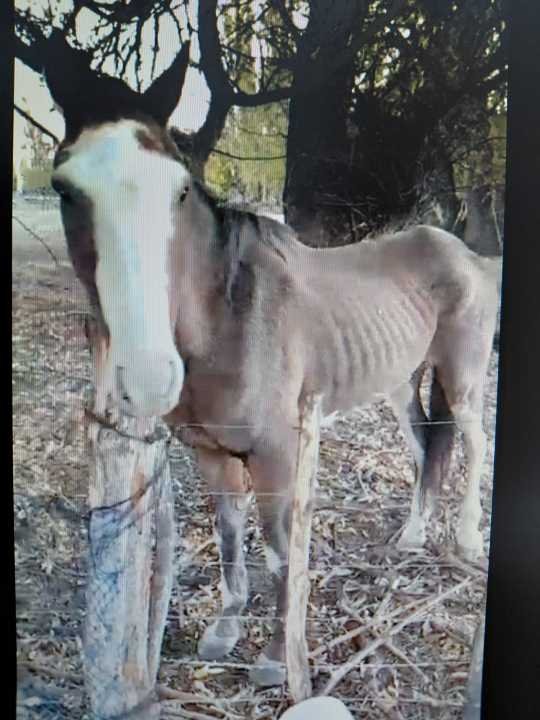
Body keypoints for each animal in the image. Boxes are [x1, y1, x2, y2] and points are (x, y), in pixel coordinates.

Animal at [44, 38, 500, 688]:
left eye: (180, 189)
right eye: (65, 188)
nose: (152, 375)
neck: (229, 322)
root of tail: (465, 251)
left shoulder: (280, 454)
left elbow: (282, 550)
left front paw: (273, 658)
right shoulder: (212, 453)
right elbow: (230, 536)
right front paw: (226, 628)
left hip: (462, 377)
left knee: (474, 441)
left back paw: (465, 538)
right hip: (399, 380)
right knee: (425, 446)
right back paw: (413, 534)